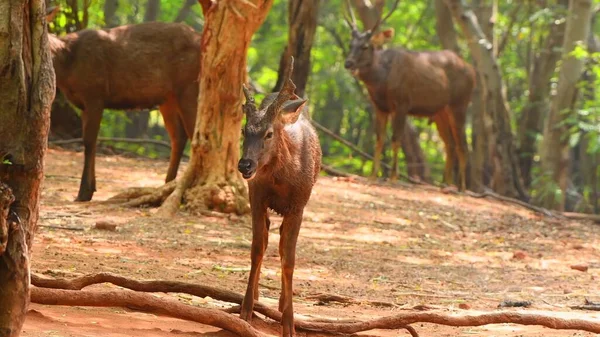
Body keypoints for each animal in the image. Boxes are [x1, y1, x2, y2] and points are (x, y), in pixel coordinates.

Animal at [47, 7, 200, 201]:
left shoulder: (95, 94)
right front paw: (91, 188)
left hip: (188, 86)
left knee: (195, 132)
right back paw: (167, 184)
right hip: (168, 98)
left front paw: (83, 192)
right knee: (178, 137)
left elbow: (89, 141)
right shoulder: (84, 104)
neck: (66, 67)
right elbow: (91, 141)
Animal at [238, 56, 324, 334]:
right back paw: (257, 296)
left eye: (269, 133)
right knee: (266, 240)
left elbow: (289, 259)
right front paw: (246, 311)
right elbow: (257, 248)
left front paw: (289, 323)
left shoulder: (299, 205)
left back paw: (281, 302)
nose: (245, 165)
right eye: (244, 131)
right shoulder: (256, 197)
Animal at [344, 0, 476, 189]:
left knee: (462, 144)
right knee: (449, 143)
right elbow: (379, 139)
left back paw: (462, 187)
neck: (381, 82)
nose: (348, 63)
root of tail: (472, 71)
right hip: (440, 112)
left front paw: (393, 177)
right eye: (350, 44)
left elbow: (395, 138)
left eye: (365, 46)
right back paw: (445, 183)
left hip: (460, 103)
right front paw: (373, 176)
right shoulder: (379, 107)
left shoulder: (402, 103)